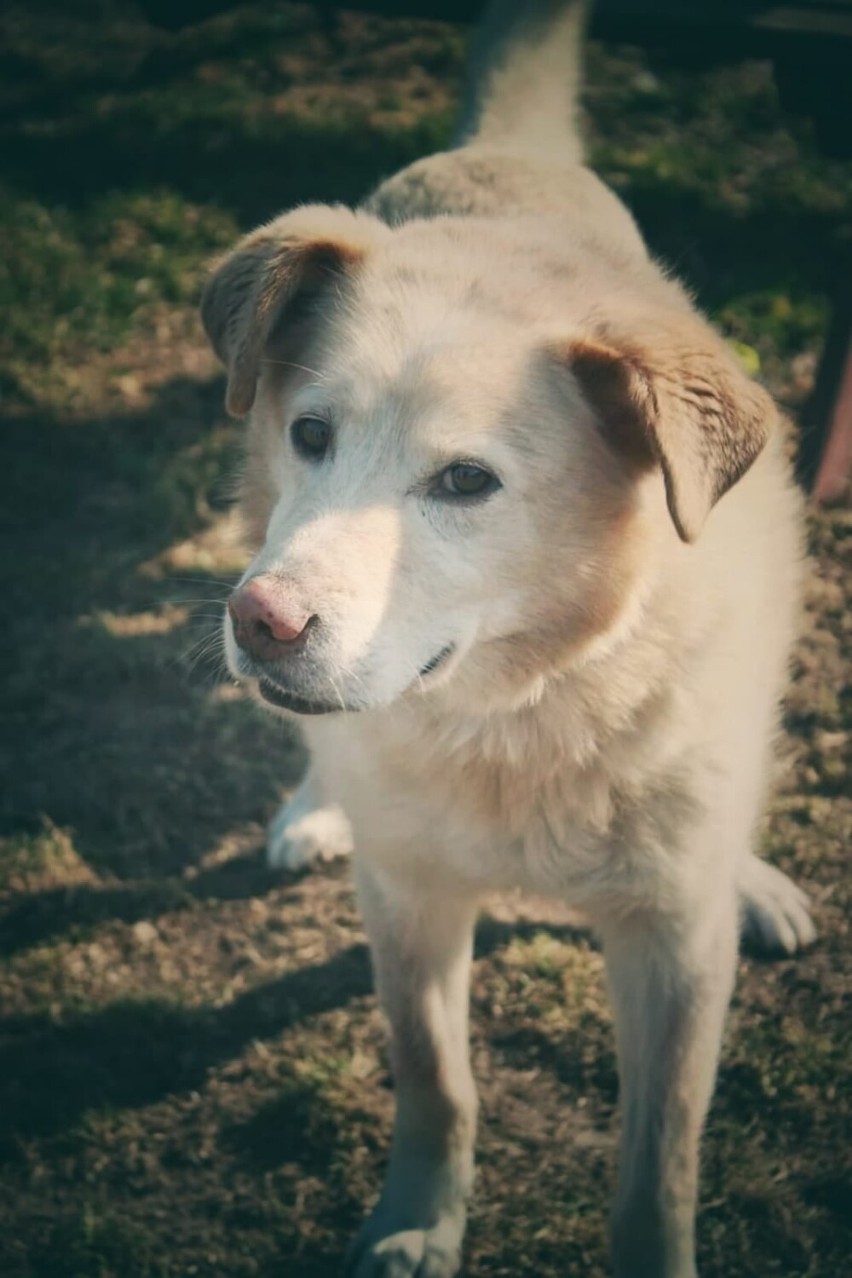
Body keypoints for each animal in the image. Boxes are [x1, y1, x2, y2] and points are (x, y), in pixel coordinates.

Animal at [201, 4, 817, 1272]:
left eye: (467, 482)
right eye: (312, 434)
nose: (260, 622)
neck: (523, 708)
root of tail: (502, 155)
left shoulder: (673, 950)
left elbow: (660, 1164)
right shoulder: (413, 902)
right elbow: (437, 1084)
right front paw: (418, 1223)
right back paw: (314, 807)